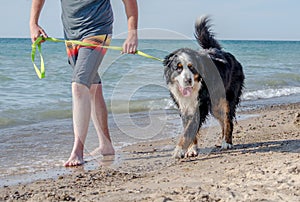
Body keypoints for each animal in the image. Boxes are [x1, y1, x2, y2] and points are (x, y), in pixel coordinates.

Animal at [164, 15, 244, 159]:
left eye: (192, 67)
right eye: (178, 68)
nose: (188, 80)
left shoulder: (200, 105)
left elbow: (188, 130)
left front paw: (179, 150)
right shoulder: (185, 107)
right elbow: (189, 128)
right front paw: (191, 149)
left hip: (227, 99)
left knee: (228, 120)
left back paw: (226, 143)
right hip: (215, 105)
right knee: (223, 120)